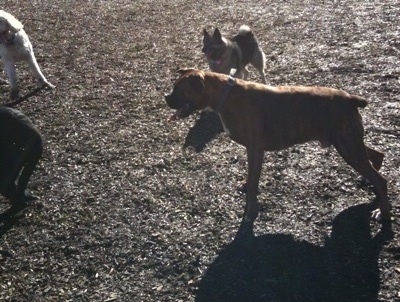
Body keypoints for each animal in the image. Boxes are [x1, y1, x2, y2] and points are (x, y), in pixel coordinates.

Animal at [164, 69, 390, 224]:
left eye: (180, 90)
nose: (166, 98)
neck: (225, 95)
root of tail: (351, 99)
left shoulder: (256, 148)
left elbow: (254, 182)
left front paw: (250, 212)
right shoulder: (252, 150)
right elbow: (250, 176)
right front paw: (246, 186)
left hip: (347, 146)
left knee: (381, 179)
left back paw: (382, 214)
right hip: (348, 143)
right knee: (377, 156)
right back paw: (372, 190)